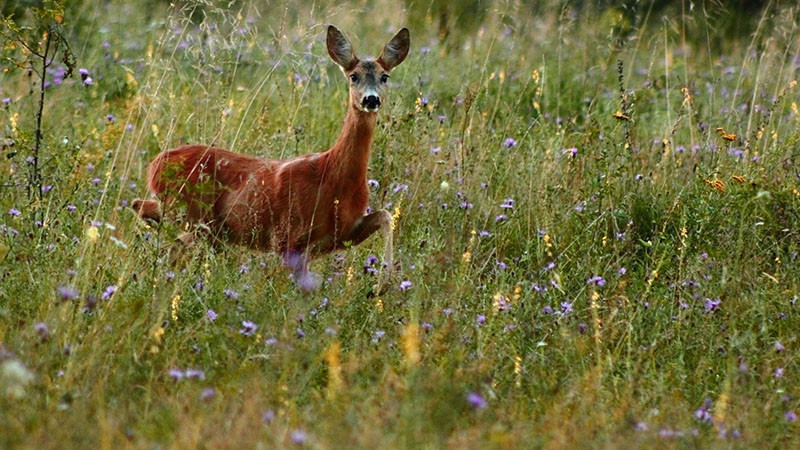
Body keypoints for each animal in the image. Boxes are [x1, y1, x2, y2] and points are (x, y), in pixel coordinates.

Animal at [132, 25, 410, 292]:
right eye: (354, 76)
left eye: (384, 76)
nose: (371, 99)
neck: (334, 177)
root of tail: (156, 164)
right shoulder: (289, 236)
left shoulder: (342, 233)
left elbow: (385, 215)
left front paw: (382, 285)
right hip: (194, 214)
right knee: (167, 238)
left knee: (146, 213)